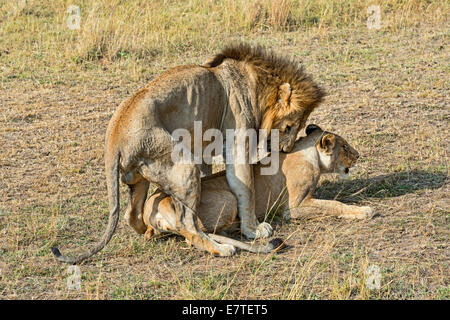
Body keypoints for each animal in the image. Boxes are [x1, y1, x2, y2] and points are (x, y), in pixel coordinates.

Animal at [51, 42, 324, 262]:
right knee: (188, 226)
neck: (255, 85)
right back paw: (222, 248)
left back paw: (157, 232)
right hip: (182, 166)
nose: (285, 149)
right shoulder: (237, 144)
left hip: (139, 178)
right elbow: (245, 189)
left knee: (133, 215)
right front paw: (253, 230)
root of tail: (114, 135)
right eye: (290, 126)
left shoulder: (204, 149)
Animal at [144, 124, 372, 252]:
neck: (310, 154)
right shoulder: (294, 207)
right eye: (344, 147)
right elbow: (333, 204)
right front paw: (364, 211)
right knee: (197, 235)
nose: (358, 155)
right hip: (228, 198)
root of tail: (150, 207)